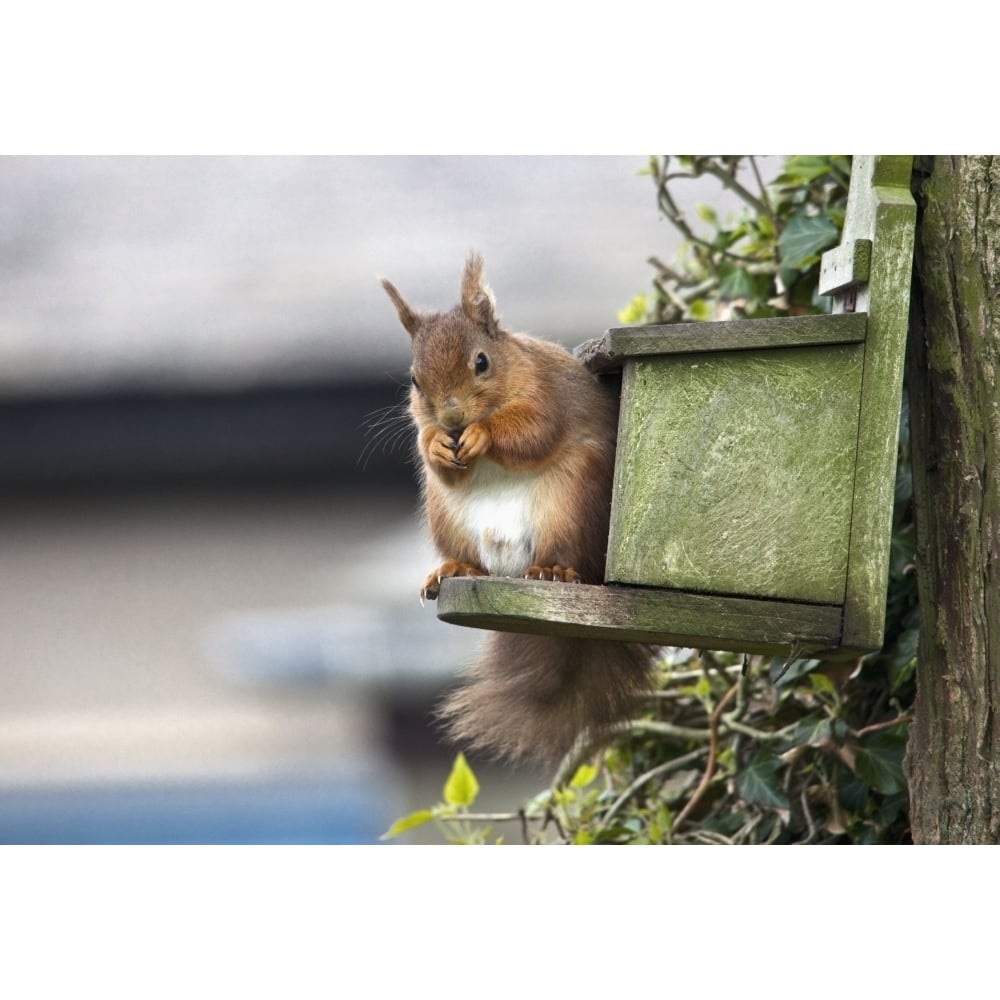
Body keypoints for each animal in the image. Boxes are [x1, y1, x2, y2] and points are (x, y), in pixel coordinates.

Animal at [378, 254, 652, 760]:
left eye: (481, 362)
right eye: (414, 380)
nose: (451, 418)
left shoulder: (546, 396)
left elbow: (532, 432)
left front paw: (484, 434)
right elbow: (434, 452)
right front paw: (436, 445)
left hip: (572, 502)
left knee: (564, 554)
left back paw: (553, 572)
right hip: (446, 516)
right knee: (471, 557)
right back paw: (453, 569)